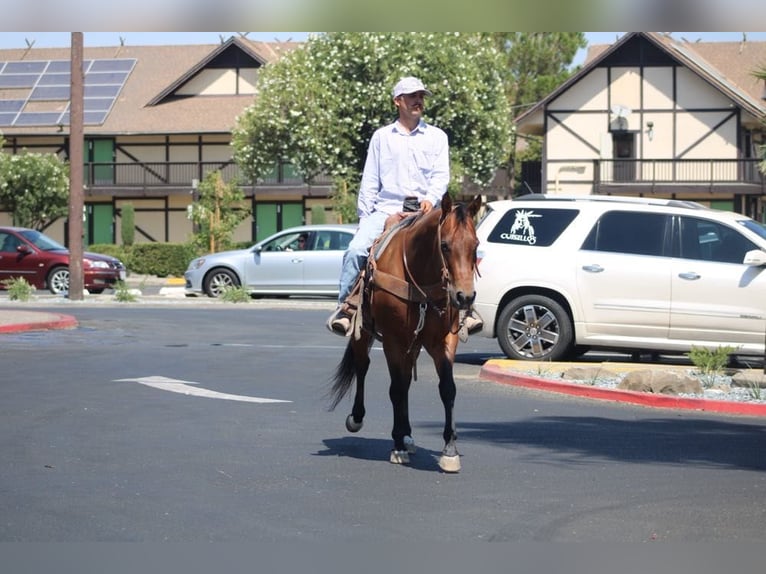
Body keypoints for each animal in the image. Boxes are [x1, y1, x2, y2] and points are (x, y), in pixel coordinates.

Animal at [328, 191, 482, 473]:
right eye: (445, 245)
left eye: (475, 245)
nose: (464, 297)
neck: (419, 278)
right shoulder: (393, 340)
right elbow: (396, 389)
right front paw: (397, 445)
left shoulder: (444, 340)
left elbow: (447, 389)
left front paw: (449, 450)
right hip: (363, 332)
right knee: (363, 367)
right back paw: (360, 419)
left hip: (414, 344)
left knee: (407, 378)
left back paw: (408, 434)